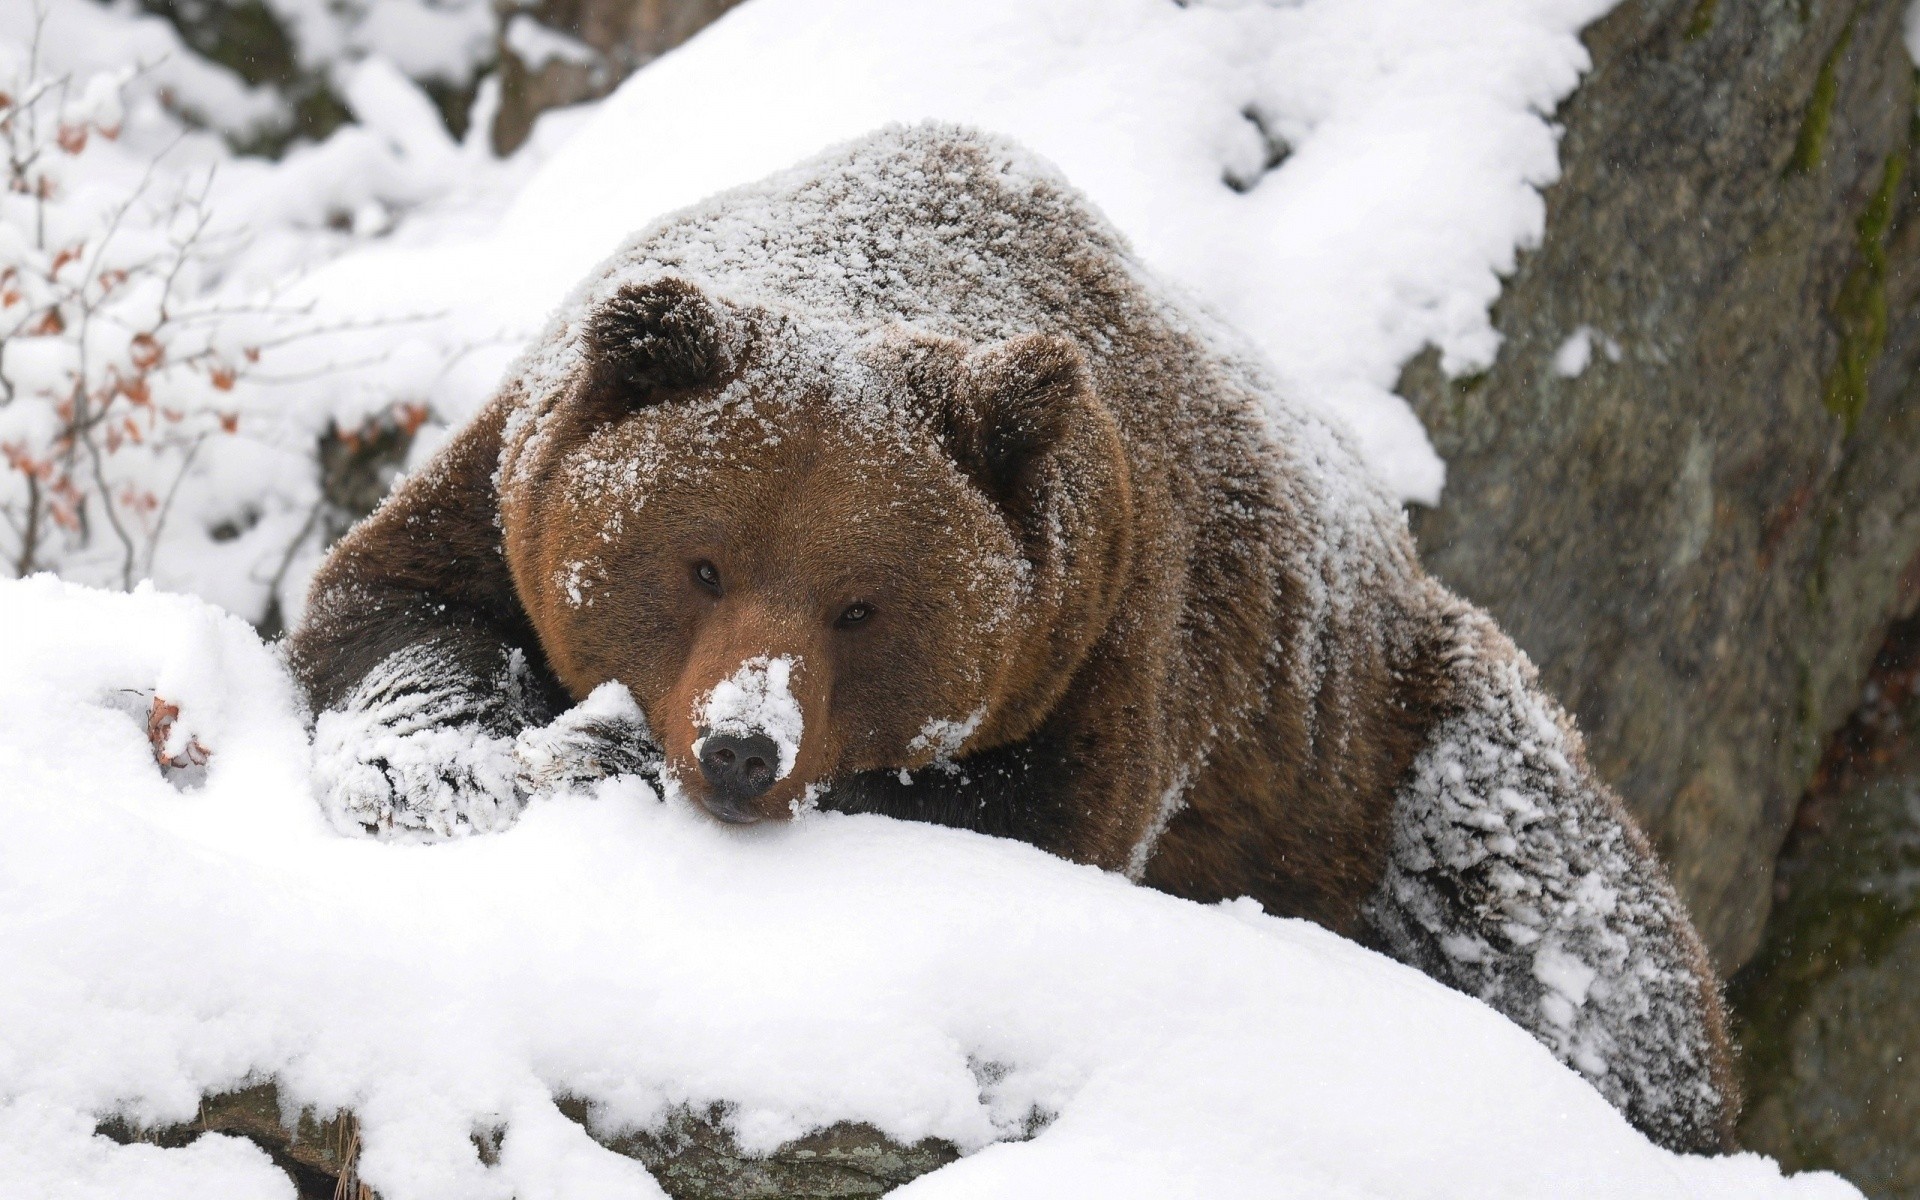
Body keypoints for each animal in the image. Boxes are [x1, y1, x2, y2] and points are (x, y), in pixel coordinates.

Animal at [288, 119, 1743, 1152]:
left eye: (862, 604)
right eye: (700, 562)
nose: (743, 747)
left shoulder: (1113, 641)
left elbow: (1016, 820)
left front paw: (605, 753)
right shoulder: (502, 485)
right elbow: (392, 610)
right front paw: (437, 767)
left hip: (1391, 752)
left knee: (1567, 930)